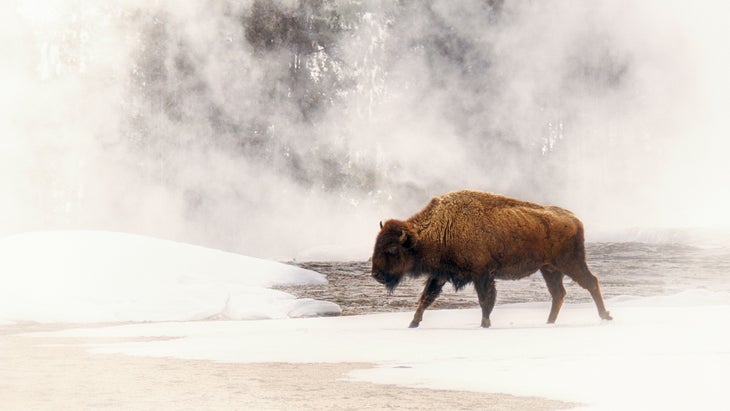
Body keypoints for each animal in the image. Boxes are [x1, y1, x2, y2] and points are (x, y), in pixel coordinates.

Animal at [370, 190, 608, 328]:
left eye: (392, 249)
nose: (376, 275)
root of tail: (575, 218)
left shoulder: (482, 274)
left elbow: (485, 299)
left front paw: (485, 323)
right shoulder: (440, 274)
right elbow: (426, 297)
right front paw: (413, 322)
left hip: (570, 263)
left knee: (590, 282)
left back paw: (605, 316)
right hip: (549, 269)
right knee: (558, 293)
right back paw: (549, 322)